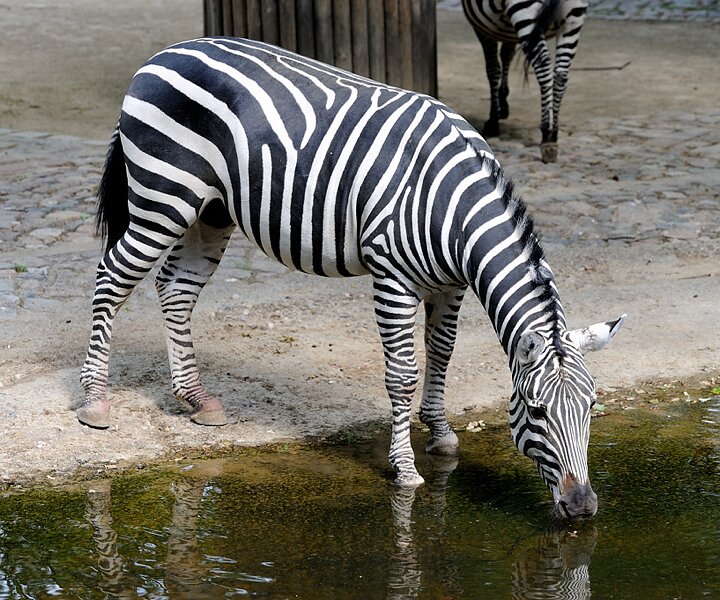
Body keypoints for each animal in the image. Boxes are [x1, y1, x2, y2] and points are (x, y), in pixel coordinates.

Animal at [77, 37, 625, 519]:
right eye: (537, 412)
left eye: (593, 406)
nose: (581, 508)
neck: (454, 209)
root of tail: (163, 54)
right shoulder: (392, 278)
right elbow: (403, 375)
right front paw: (405, 468)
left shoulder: (451, 284)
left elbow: (441, 355)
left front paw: (441, 435)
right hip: (162, 197)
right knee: (112, 278)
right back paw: (95, 403)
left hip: (211, 209)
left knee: (176, 288)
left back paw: (196, 399)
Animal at [462, 0, 588, 162]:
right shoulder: (506, 31)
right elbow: (506, 54)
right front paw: (503, 104)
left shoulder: (483, 29)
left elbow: (493, 69)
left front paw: (493, 120)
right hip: (573, 18)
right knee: (561, 74)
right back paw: (553, 134)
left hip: (525, 11)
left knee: (543, 67)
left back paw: (547, 134)